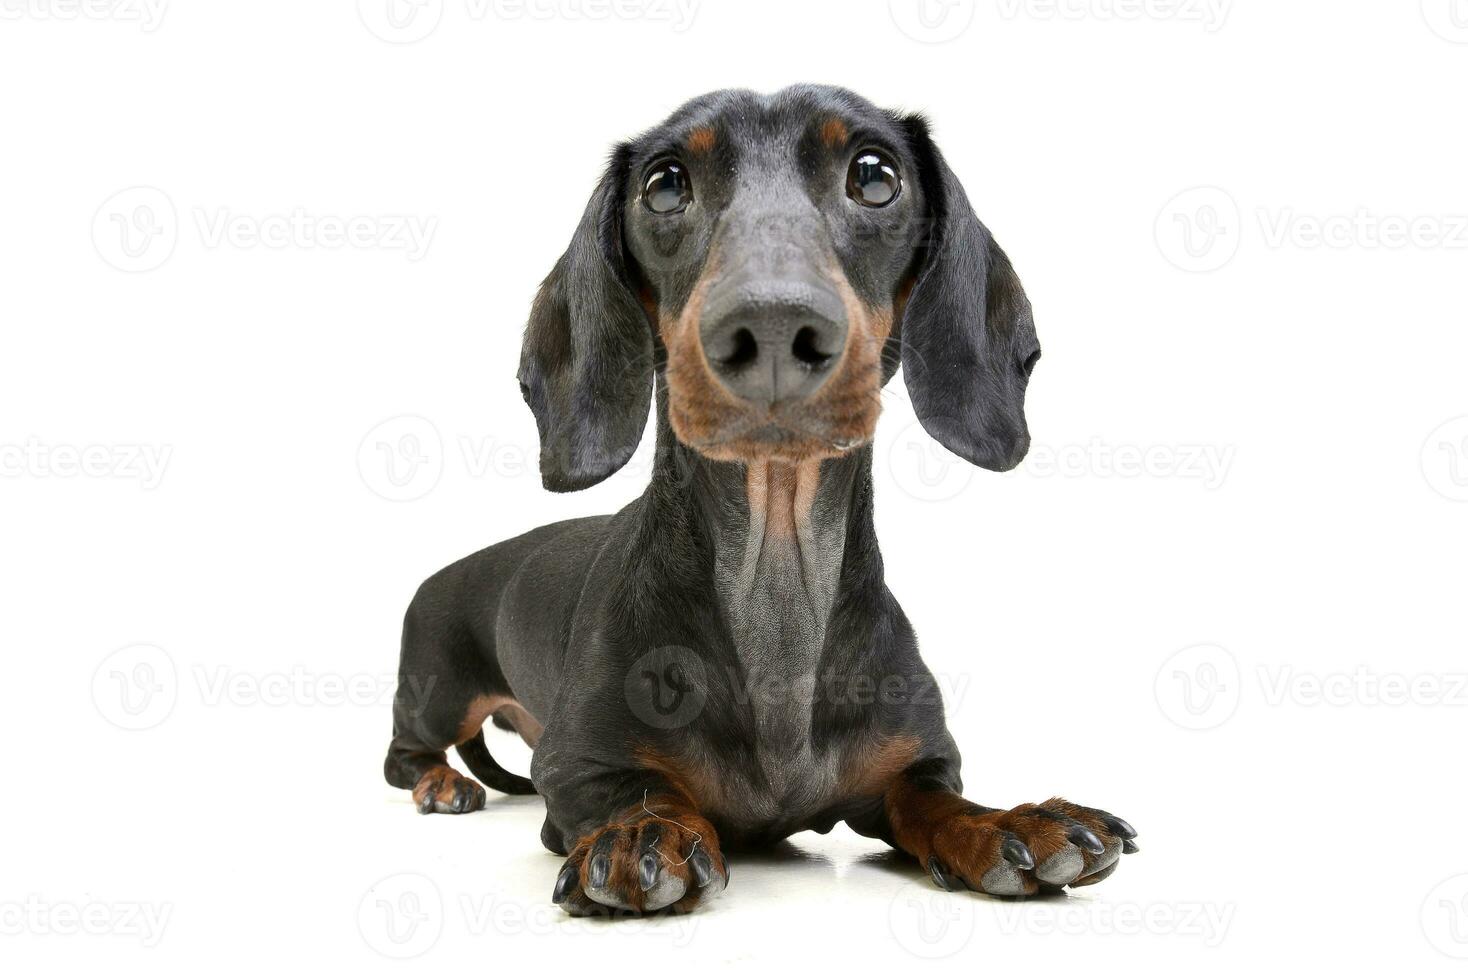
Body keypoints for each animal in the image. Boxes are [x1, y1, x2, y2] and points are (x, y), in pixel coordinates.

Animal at [381, 86, 1133, 921]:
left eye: (875, 175)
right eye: (664, 185)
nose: (772, 327)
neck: (776, 592)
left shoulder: (919, 761)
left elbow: (936, 799)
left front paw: (1011, 824)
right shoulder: (574, 766)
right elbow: (641, 792)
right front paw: (643, 836)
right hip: (438, 692)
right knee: (403, 753)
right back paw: (442, 783)